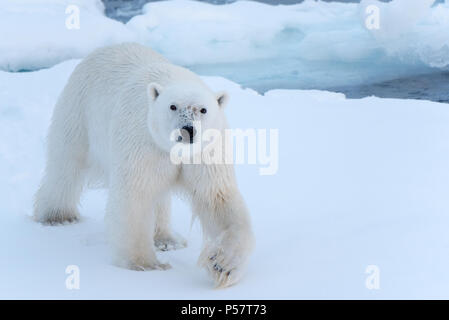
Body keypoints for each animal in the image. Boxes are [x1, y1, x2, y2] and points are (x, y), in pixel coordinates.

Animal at [34, 42, 252, 288]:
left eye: (203, 109)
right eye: (172, 106)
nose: (187, 130)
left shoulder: (205, 152)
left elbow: (217, 198)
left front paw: (223, 264)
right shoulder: (143, 141)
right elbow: (135, 196)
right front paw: (145, 265)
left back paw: (167, 239)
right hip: (79, 110)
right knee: (66, 163)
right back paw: (57, 216)